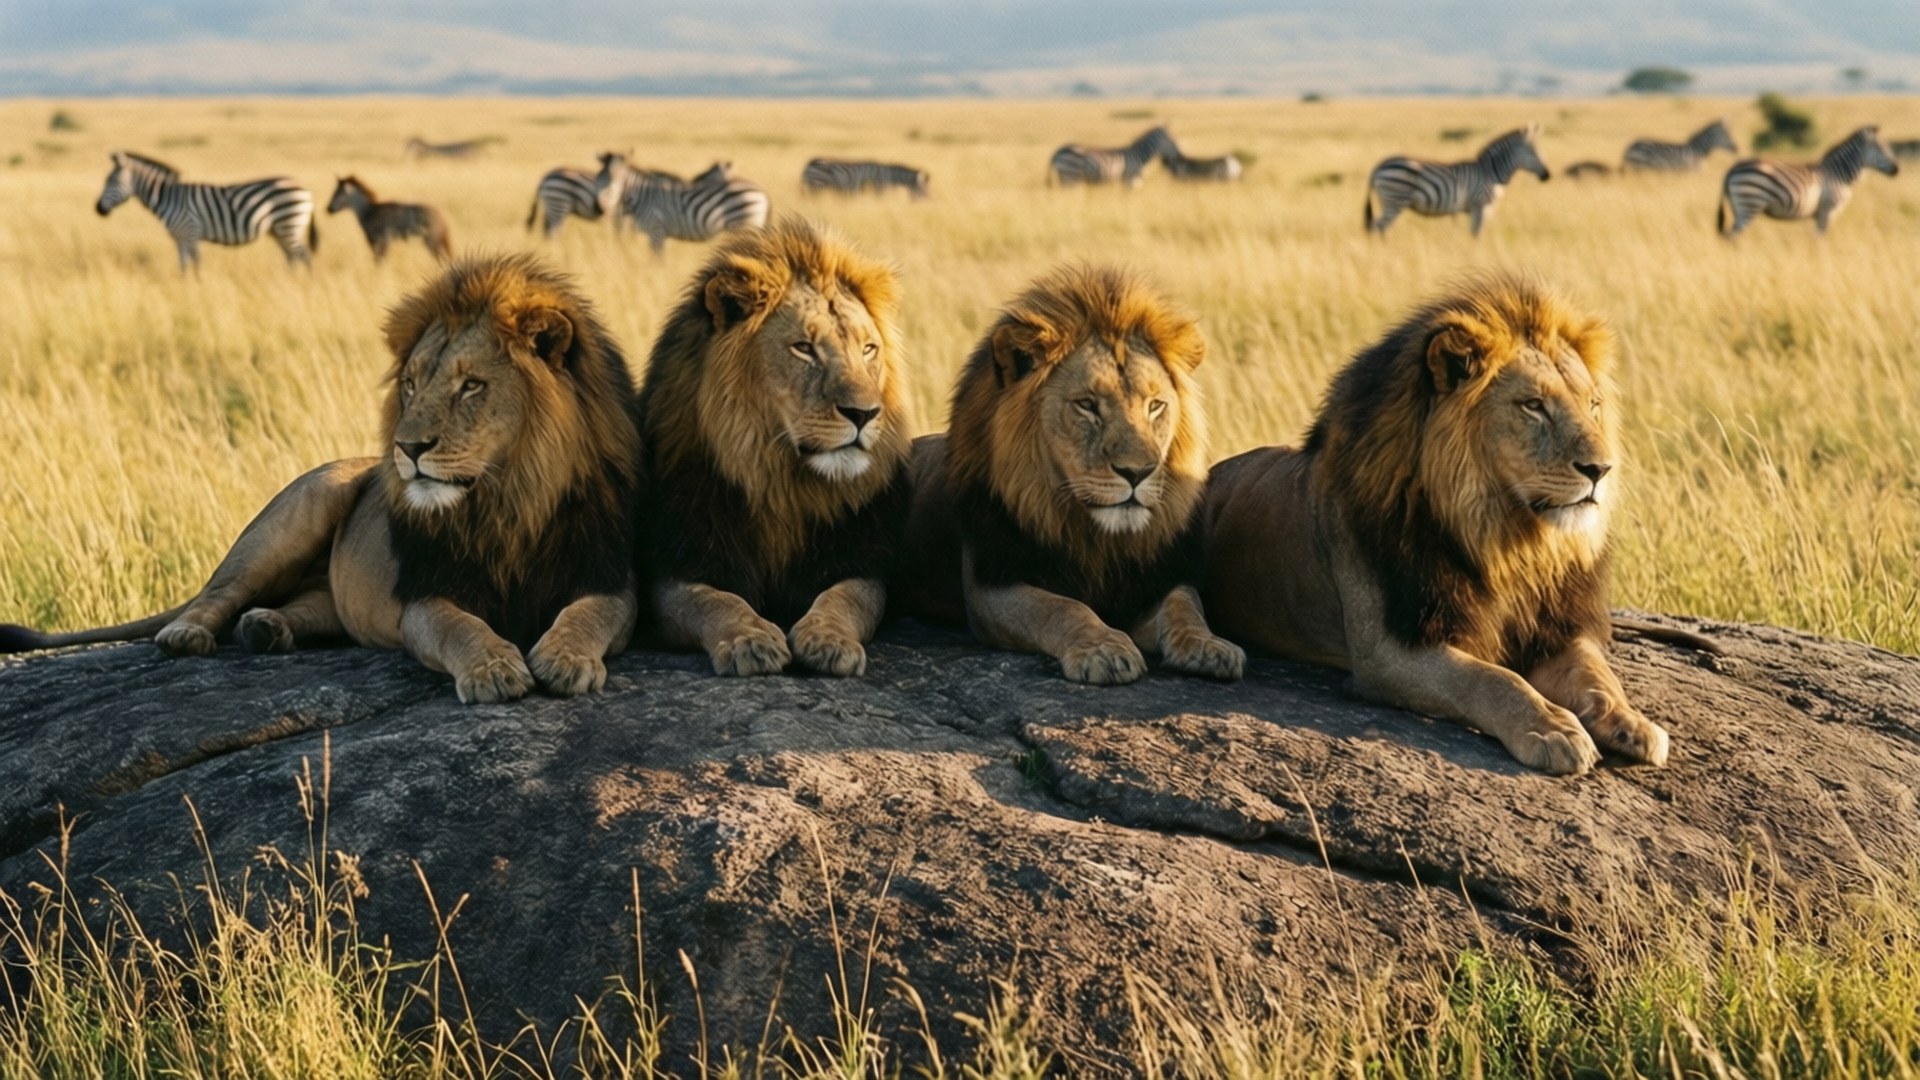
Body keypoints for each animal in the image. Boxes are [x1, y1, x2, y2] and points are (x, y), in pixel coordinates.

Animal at [0, 253, 641, 704]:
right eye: (410, 385)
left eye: (471, 386)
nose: (406, 448)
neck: (512, 500)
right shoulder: (423, 596)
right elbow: (458, 627)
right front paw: (494, 667)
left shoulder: (609, 574)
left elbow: (590, 613)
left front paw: (566, 658)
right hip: (295, 514)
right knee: (216, 593)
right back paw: (189, 634)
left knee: (310, 606)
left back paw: (267, 629)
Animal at [638, 217, 912, 677]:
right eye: (804, 348)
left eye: (868, 349)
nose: (865, 413)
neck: (779, 481)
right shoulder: (679, 562)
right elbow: (716, 600)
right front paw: (751, 641)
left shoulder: (860, 559)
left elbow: (846, 599)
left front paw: (830, 641)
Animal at [898, 264, 1245, 686]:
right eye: (1087, 405)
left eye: (1155, 406)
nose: (1138, 472)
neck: (1096, 536)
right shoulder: (990, 584)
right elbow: (1062, 608)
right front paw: (1104, 650)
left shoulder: (1156, 576)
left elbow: (1185, 606)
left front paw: (1209, 646)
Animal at [1202, 272, 1677, 775]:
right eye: (1533, 405)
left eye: (1593, 405)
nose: (1601, 469)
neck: (1505, 540)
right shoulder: (1387, 650)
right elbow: (1492, 679)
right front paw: (1551, 728)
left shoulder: (1555, 629)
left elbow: (1597, 676)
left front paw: (1631, 722)